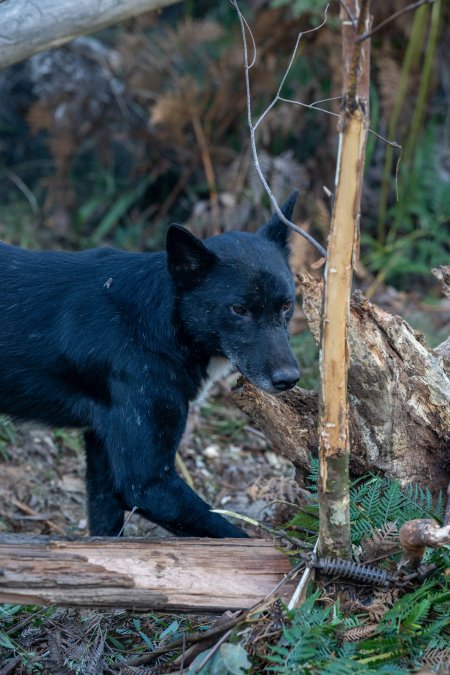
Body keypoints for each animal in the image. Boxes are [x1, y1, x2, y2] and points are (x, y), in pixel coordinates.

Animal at [0, 191, 302, 540]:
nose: (289, 379)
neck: (152, 323)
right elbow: (235, 536)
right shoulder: (146, 482)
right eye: (238, 310)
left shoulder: (103, 453)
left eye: (287, 305)